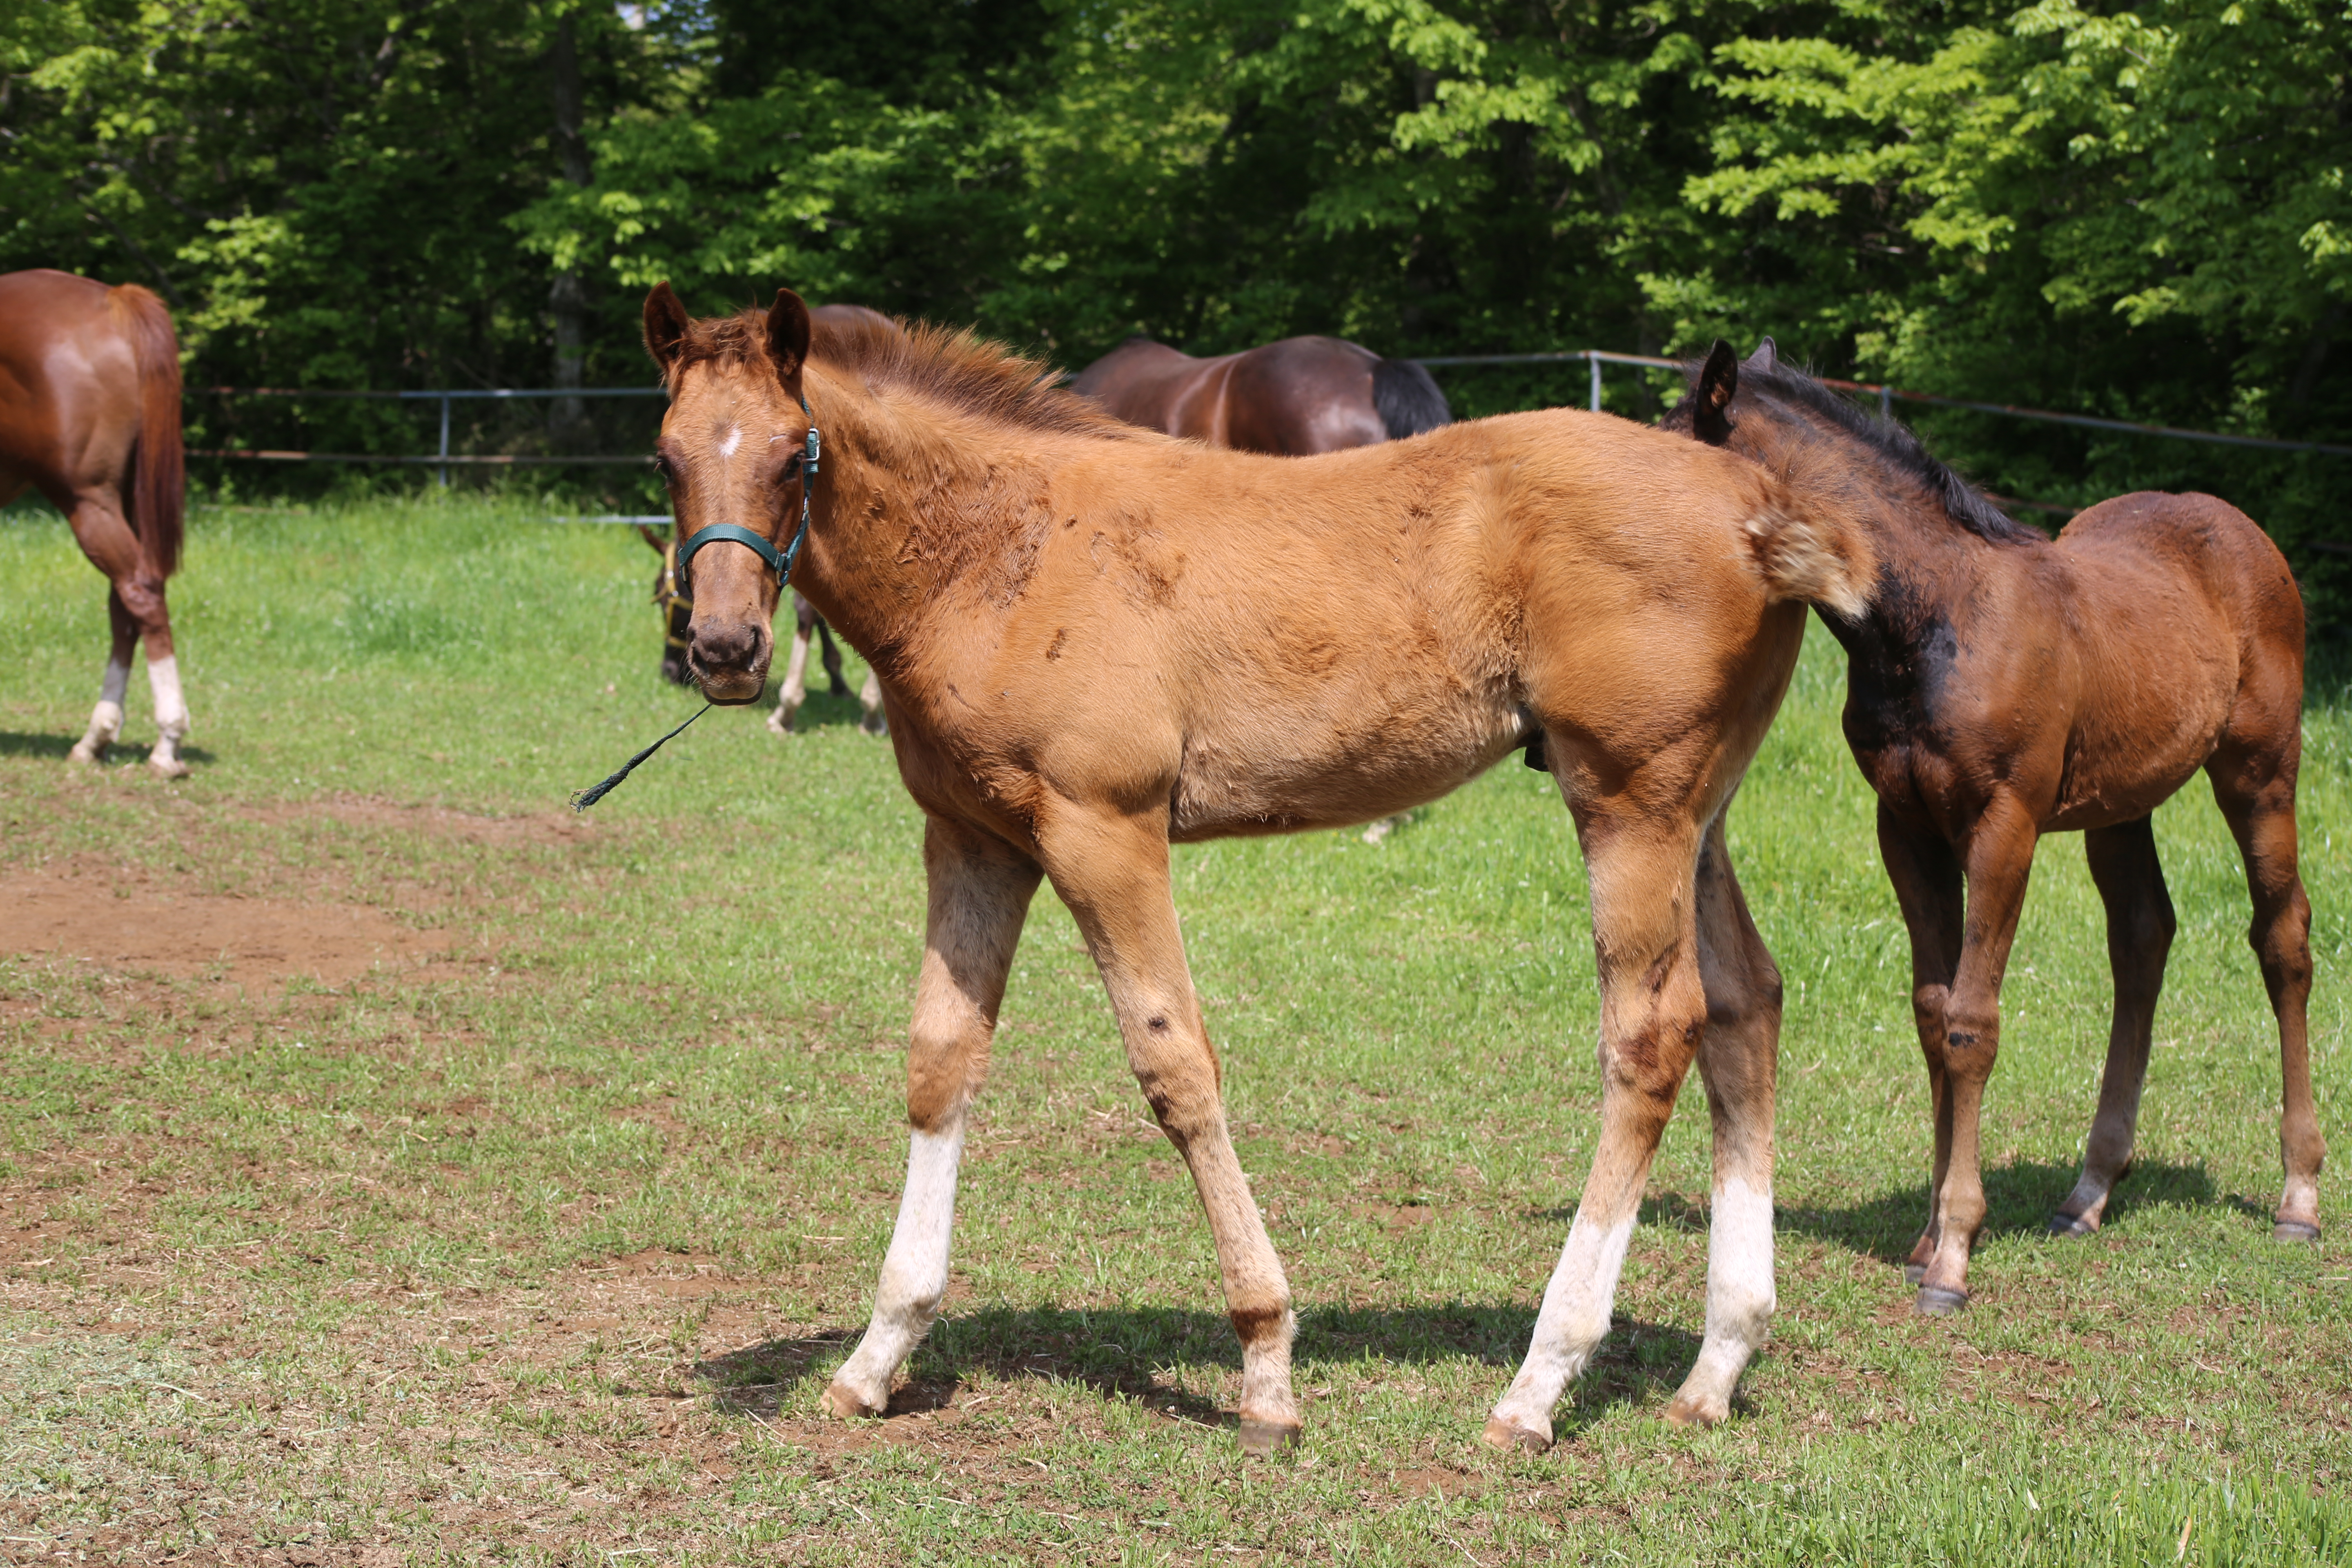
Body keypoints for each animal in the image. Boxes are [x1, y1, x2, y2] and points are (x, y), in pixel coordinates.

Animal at [0, 277, 192, 785]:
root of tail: (112, 299)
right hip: (121, 501)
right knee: (126, 606)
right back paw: (96, 738)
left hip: (90, 503)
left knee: (140, 594)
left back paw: (166, 741)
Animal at [1675, 343, 2314, 1326]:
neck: (1933, 622)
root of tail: (2242, 530)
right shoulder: (1905, 825)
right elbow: (1933, 1012)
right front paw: (1929, 1235)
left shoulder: (2003, 824)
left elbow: (1973, 1023)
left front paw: (1953, 1259)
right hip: (2121, 806)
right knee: (2144, 939)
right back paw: (2090, 1192)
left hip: (2260, 775)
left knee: (2282, 938)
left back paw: (2299, 1198)